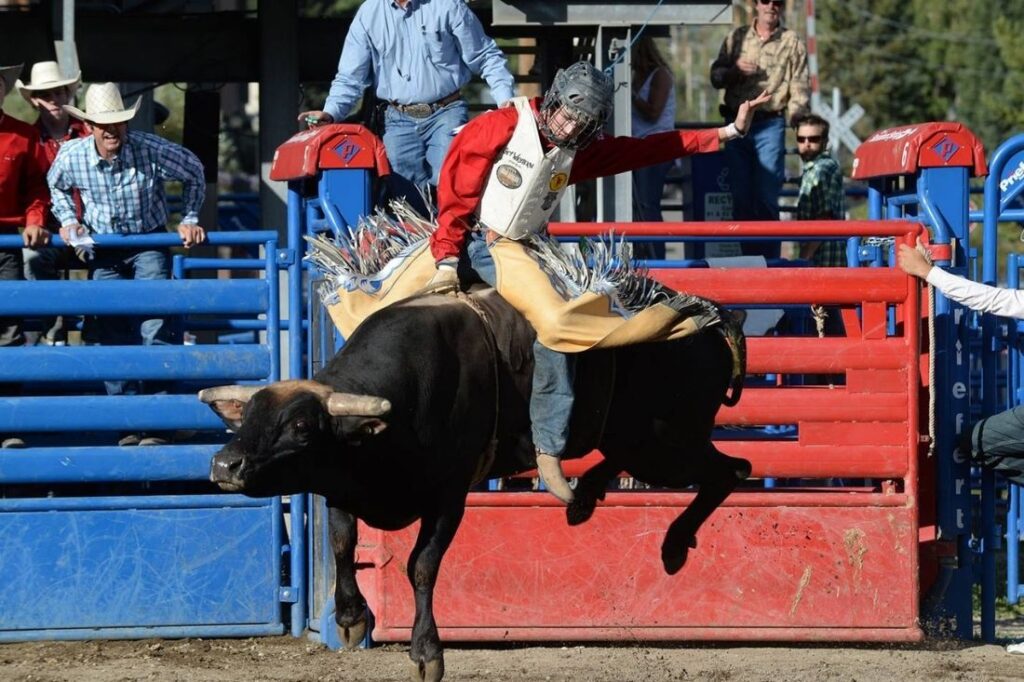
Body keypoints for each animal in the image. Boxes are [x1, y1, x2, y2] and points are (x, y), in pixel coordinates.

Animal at [197, 288, 753, 679]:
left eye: (300, 425)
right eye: (247, 416)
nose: (225, 465)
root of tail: (716, 323)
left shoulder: (449, 495)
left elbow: (421, 566)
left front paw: (427, 652)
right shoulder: (344, 485)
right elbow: (341, 544)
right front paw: (351, 617)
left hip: (664, 447)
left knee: (732, 470)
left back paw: (674, 545)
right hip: (645, 443)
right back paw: (585, 500)